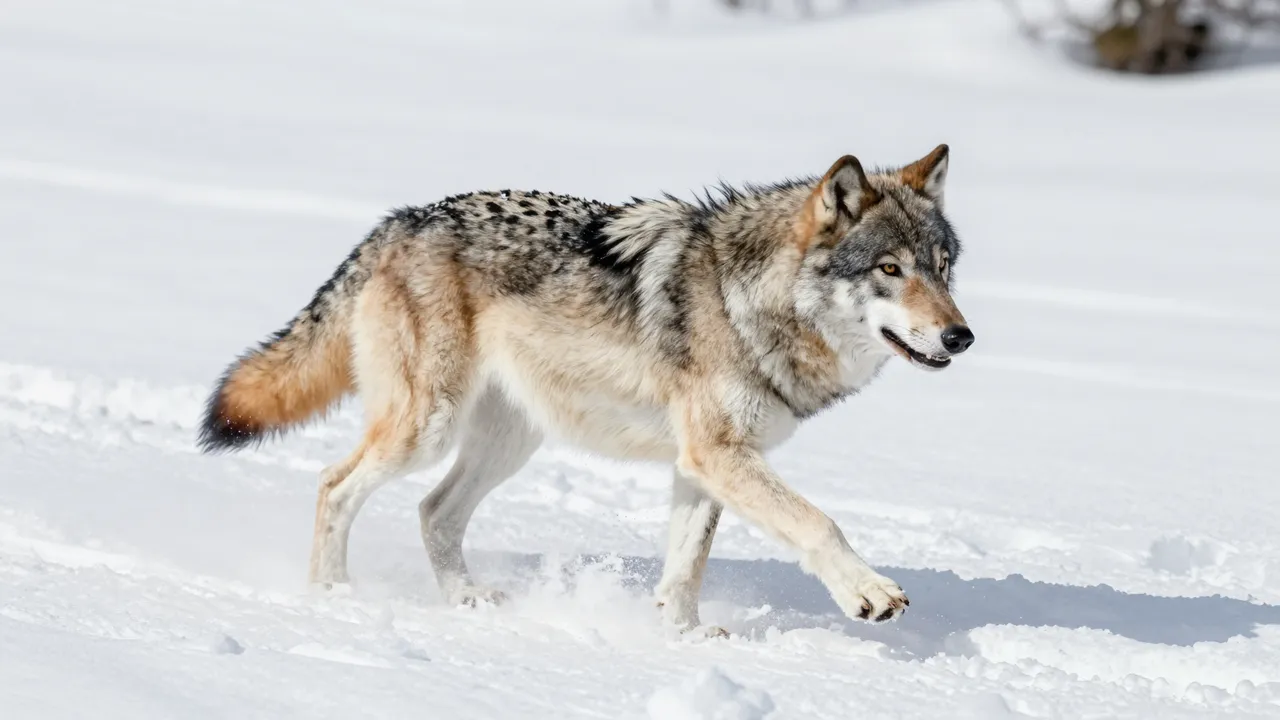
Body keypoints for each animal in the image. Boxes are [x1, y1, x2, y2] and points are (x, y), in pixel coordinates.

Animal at [197, 144, 974, 631]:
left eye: (943, 267)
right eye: (890, 269)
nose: (961, 337)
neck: (747, 299)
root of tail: (399, 221)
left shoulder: (701, 464)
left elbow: (684, 570)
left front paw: (685, 639)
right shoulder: (719, 455)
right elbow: (818, 522)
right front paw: (868, 593)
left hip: (508, 443)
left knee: (433, 511)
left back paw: (466, 601)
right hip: (427, 429)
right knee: (334, 485)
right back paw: (332, 595)